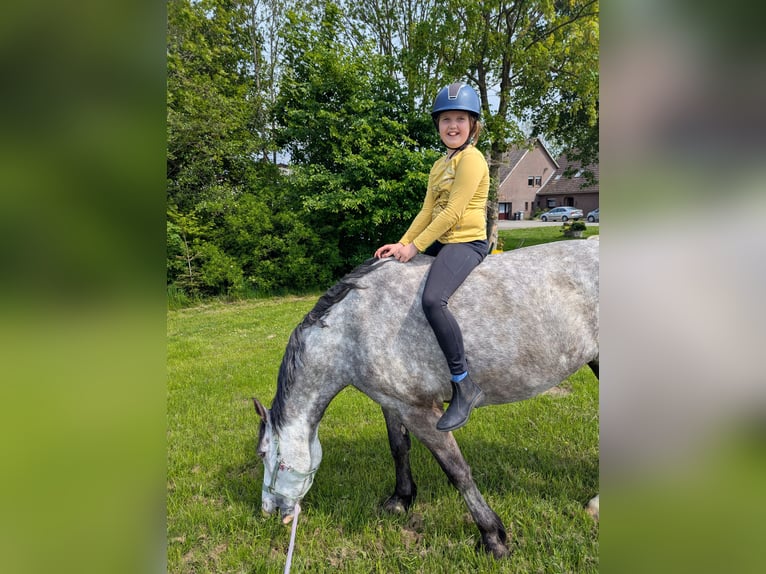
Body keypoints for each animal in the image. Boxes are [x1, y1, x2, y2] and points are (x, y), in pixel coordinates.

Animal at [252, 239, 599, 558]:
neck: (352, 328)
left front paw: (492, 537)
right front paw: (401, 500)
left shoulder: (421, 411)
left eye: (263, 453)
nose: (269, 510)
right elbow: (399, 448)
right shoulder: (392, 402)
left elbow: (457, 470)